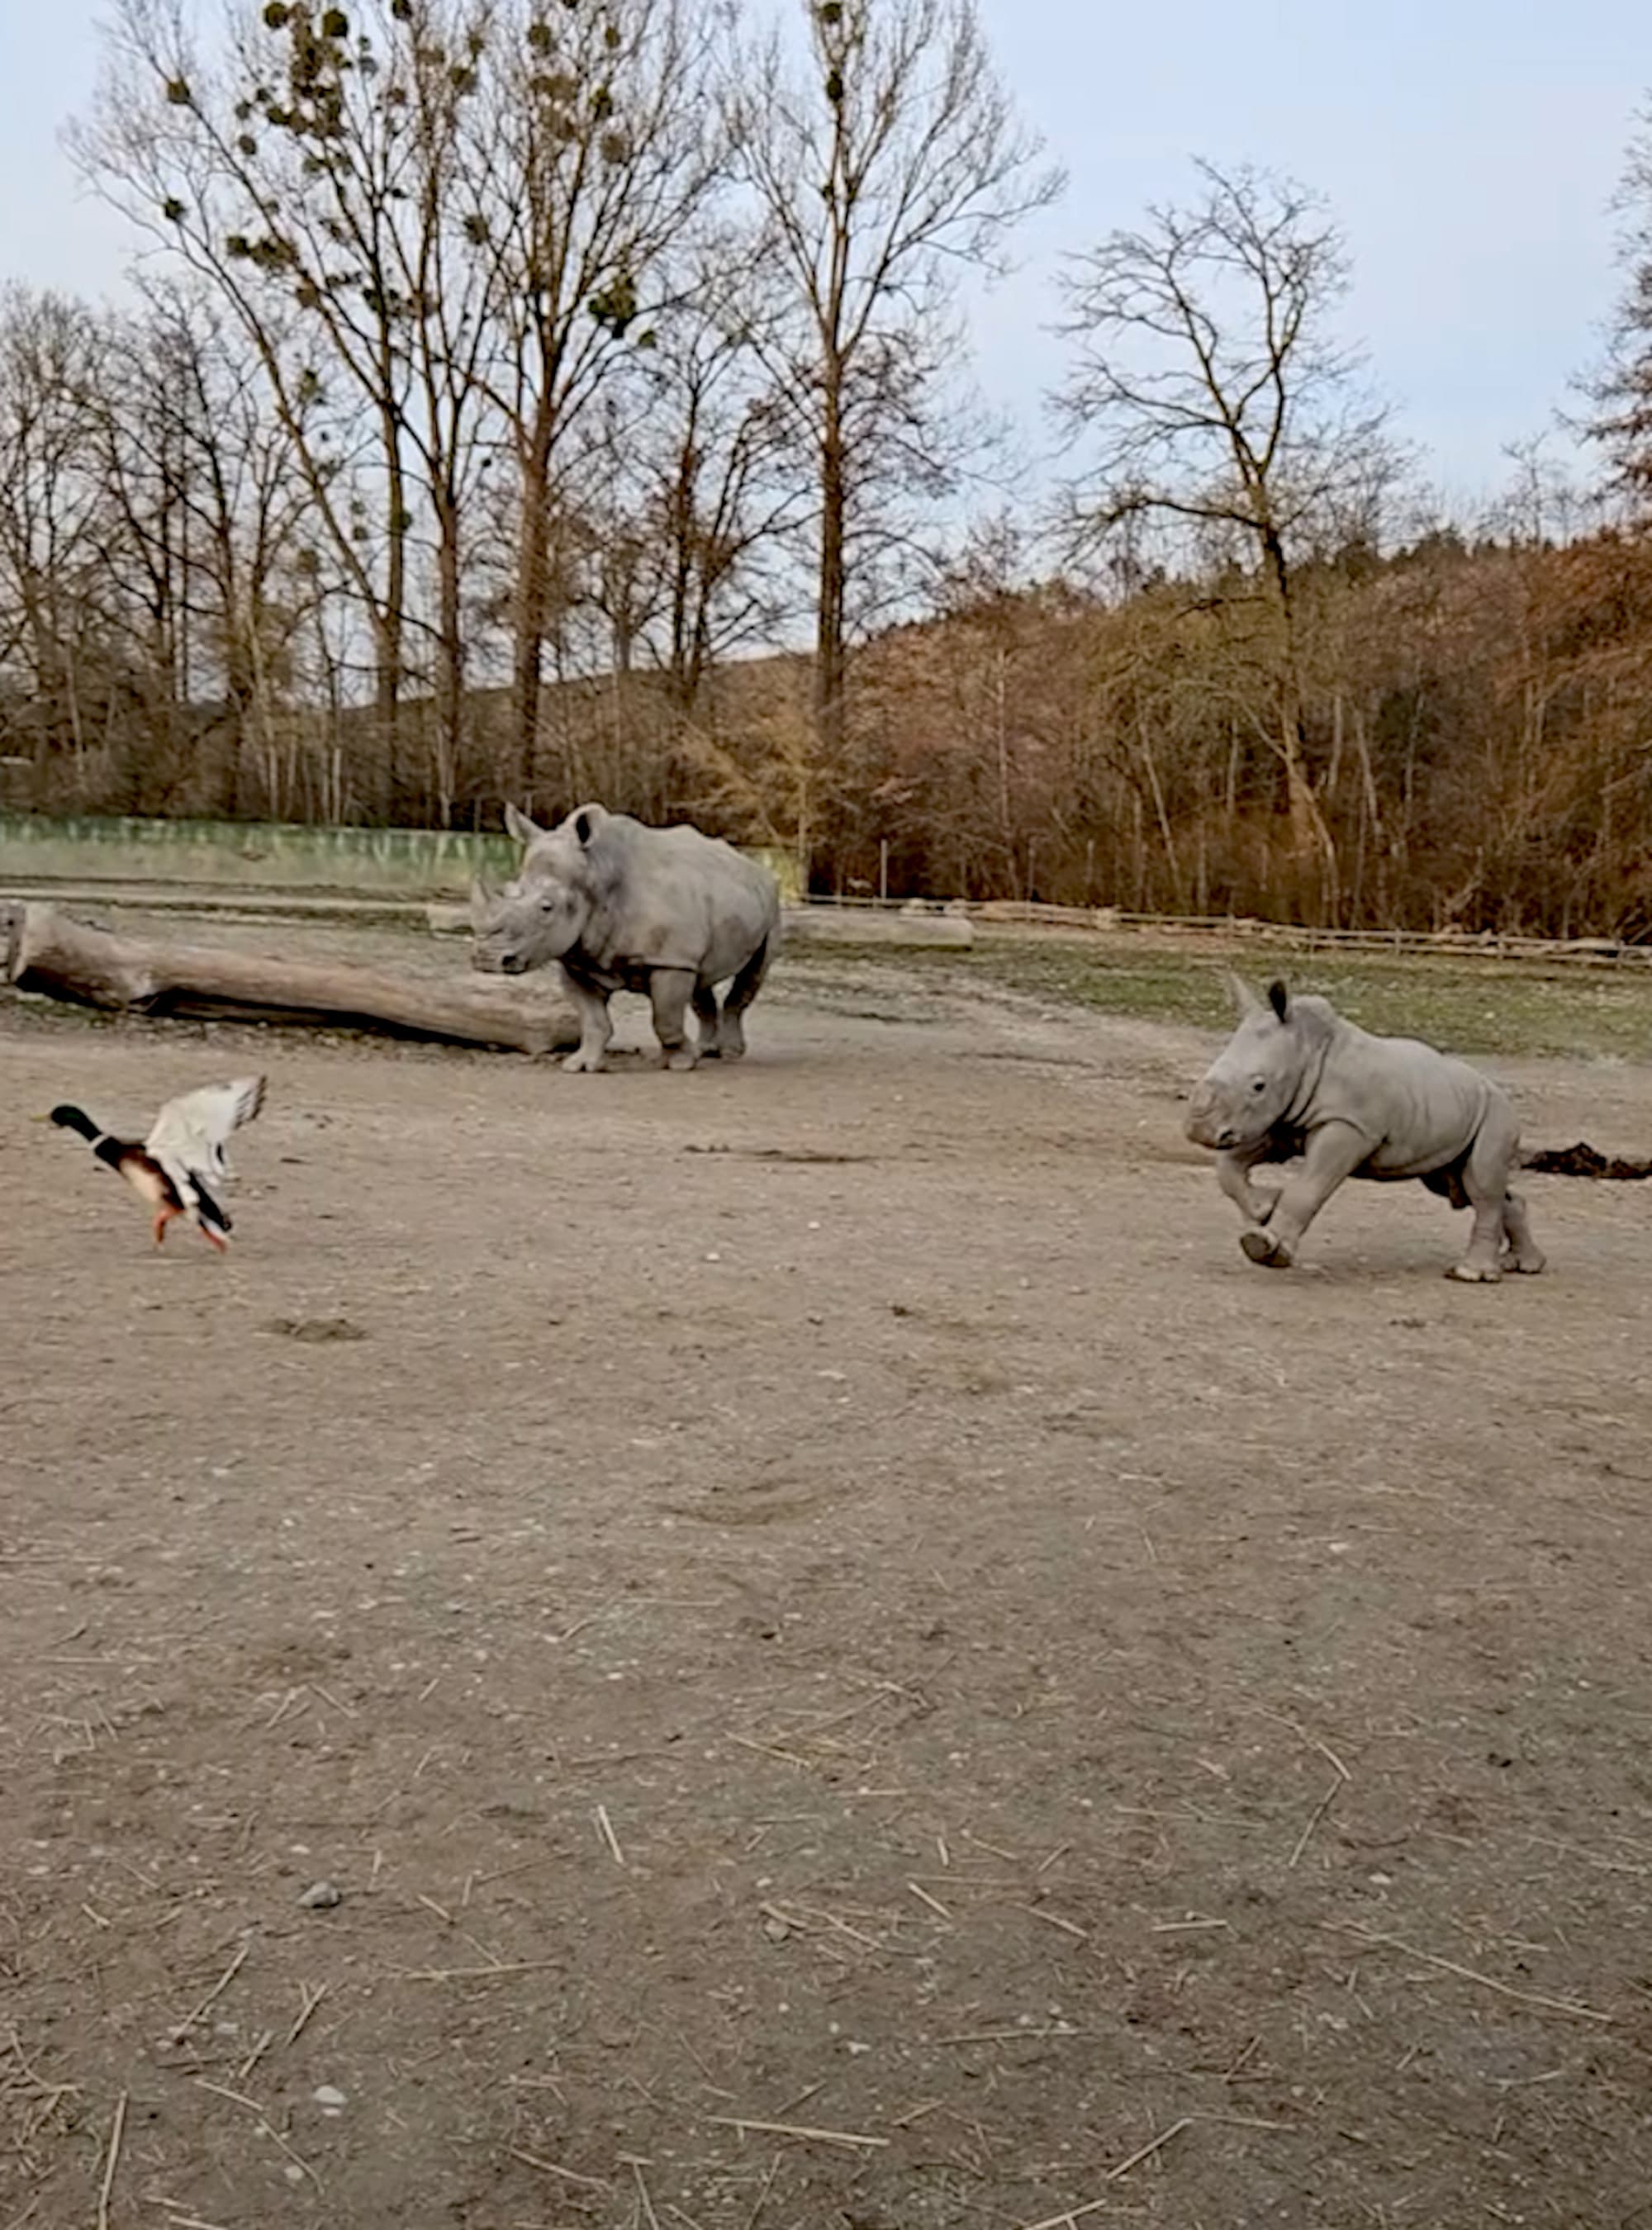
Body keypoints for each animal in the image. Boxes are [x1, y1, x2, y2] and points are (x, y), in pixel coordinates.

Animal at [470, 803, 780, 1072]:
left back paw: (729, 1053)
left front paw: (681, 1063)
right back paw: (707, 1050)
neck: (597, 875)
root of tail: (753, 864)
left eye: (547, 908)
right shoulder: (579, 959)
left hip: (771, 902)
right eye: (508, 890)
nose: (486, 959)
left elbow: (665, 1019)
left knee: (753, 972)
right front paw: (581, 1066)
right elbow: (593, 1020)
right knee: (701, 978)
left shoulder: (669, 959)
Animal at [1184, 975, 1545, 1282]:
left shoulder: (1348, 1126)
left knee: (1480, 1184)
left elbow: (1309, 1187)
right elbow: (1229, 1166)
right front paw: (1264, 1207)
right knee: (1457, 1184)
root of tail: (1496, 1089)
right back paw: (1523, 1266)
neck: (1306, 1050)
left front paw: (1265, 1247)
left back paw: (1471, 1274)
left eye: (1259, 1085)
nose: (1198, 1130)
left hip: (1497, 1113)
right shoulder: (1281, 1120)